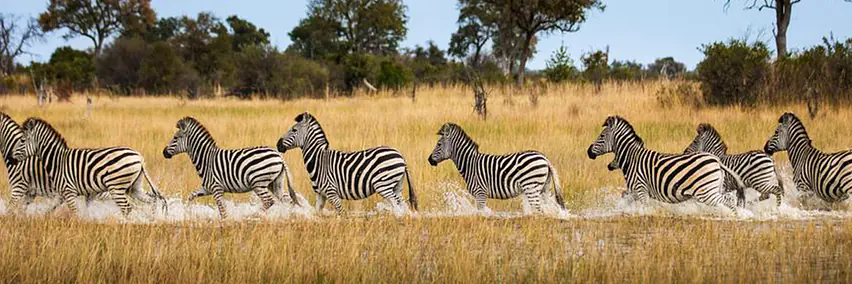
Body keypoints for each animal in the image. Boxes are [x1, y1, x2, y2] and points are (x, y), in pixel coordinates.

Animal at [12, 117, 166, 215]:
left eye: (22, 140)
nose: (11, 158)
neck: (57, 160)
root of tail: (139, 157)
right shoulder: (71, 193)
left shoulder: (69, 191)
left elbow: (75, 213)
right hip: (134, 187)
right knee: (152, 200)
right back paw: (152, 220)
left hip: (116, 187)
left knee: (127, 209)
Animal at [165, 116, 302, 219]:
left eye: (175, 138)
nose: (164, 152)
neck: (206, 159)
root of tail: (279, 156)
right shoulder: (207, 188)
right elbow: (191, 196)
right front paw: (185, 212)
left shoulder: (216, 188)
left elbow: (223, 211)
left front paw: (225, 225)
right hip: (275, 183)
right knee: (288, 200)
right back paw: (289, 217)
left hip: (258, 183)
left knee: (269, 201)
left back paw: (252, 216)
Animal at [276, 112, 416, 214]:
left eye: (294, 130)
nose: (278, 145)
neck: (319, 160)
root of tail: (400, 156)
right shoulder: (320, 194)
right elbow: (317, 213)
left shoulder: (331, 192)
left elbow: (342, 214)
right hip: (396, 186)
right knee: (402, 206)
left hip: (384, 185)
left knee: (397, 206)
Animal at [426, 123, 564, 212]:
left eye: (439, 144)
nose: (429, 160)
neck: (470, 164)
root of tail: (544, 158)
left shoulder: (480, 194)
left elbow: (480, 214)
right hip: (543, 188)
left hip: (531, 187)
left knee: (539, 211)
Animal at [584, 116, 744, 213]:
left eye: (602, 136)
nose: (588, 152)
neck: (632, 159)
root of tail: (716, 160)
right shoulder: (633, 191)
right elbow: (625, 200)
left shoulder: (641, 189)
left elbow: (644, 208)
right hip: (713, 188)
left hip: (706, 192)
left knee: (729, 200)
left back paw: (737, 216)